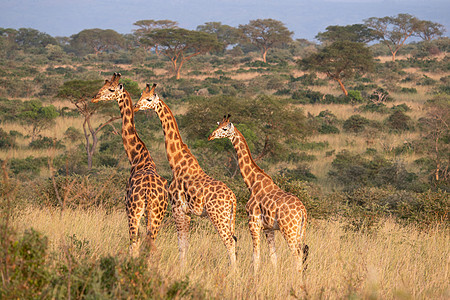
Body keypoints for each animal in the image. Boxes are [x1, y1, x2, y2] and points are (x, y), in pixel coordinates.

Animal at [92, 73, 169, 258]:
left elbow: (134, 242)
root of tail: (149, 193)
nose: (94, 97)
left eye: (111, 89)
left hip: (135, 212)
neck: (137, 158)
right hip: (157, 215)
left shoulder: (127, 207)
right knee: (149, 243)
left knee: (134, 242)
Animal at [134, 84, 237, 268]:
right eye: (141, 95)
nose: (136, 106)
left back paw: (234, 272)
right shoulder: (187, 212)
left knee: (229, 242)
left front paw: (181, 269)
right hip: (228, 217)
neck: (176, 163)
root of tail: (233, 198)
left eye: (149, 99)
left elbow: (181, 244)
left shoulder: (177, 208)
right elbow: (186, 244)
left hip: (218, 215)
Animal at [208, 113, 310, 274]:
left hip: (289, 230)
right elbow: (273, 256)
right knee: (301, 253)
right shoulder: (268, 228)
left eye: (224, 128)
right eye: (218, 125)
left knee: (297, 254)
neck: (253, 183)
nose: (210, 136)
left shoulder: (253, 223)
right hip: (299, 230)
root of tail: (303, 211)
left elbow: (256, 256)